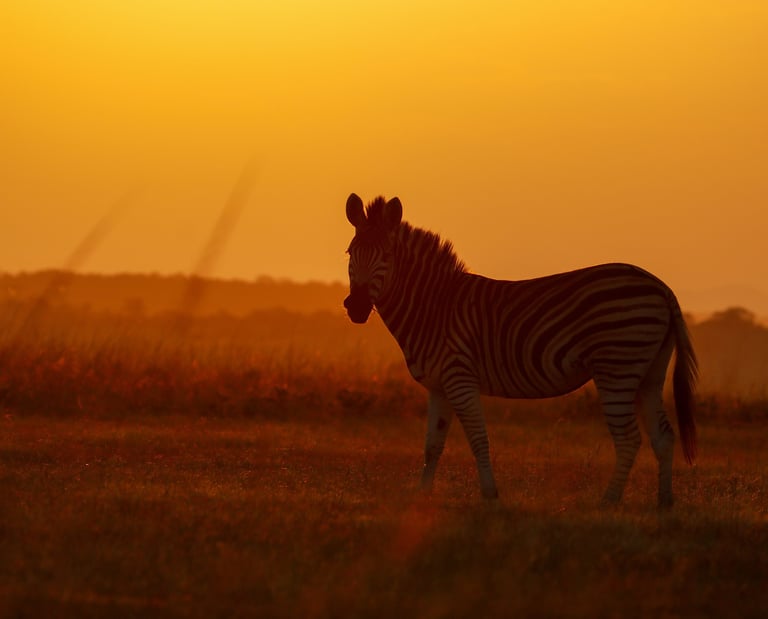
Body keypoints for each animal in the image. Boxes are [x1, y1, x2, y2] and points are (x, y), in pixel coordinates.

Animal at [343, 193, 697, 508]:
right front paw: (422, 496)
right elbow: (432, 445)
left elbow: (478, 439)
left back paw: (609, 501)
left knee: (628, 439)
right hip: (649, 373)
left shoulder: (460, 379)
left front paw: (490, 495)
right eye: (349, 253)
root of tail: (660, 286)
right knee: (663, 436)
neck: (434, 307)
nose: (356, 307)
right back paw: (664, 501)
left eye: (386, 256)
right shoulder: (439, 387)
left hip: (617, 367)